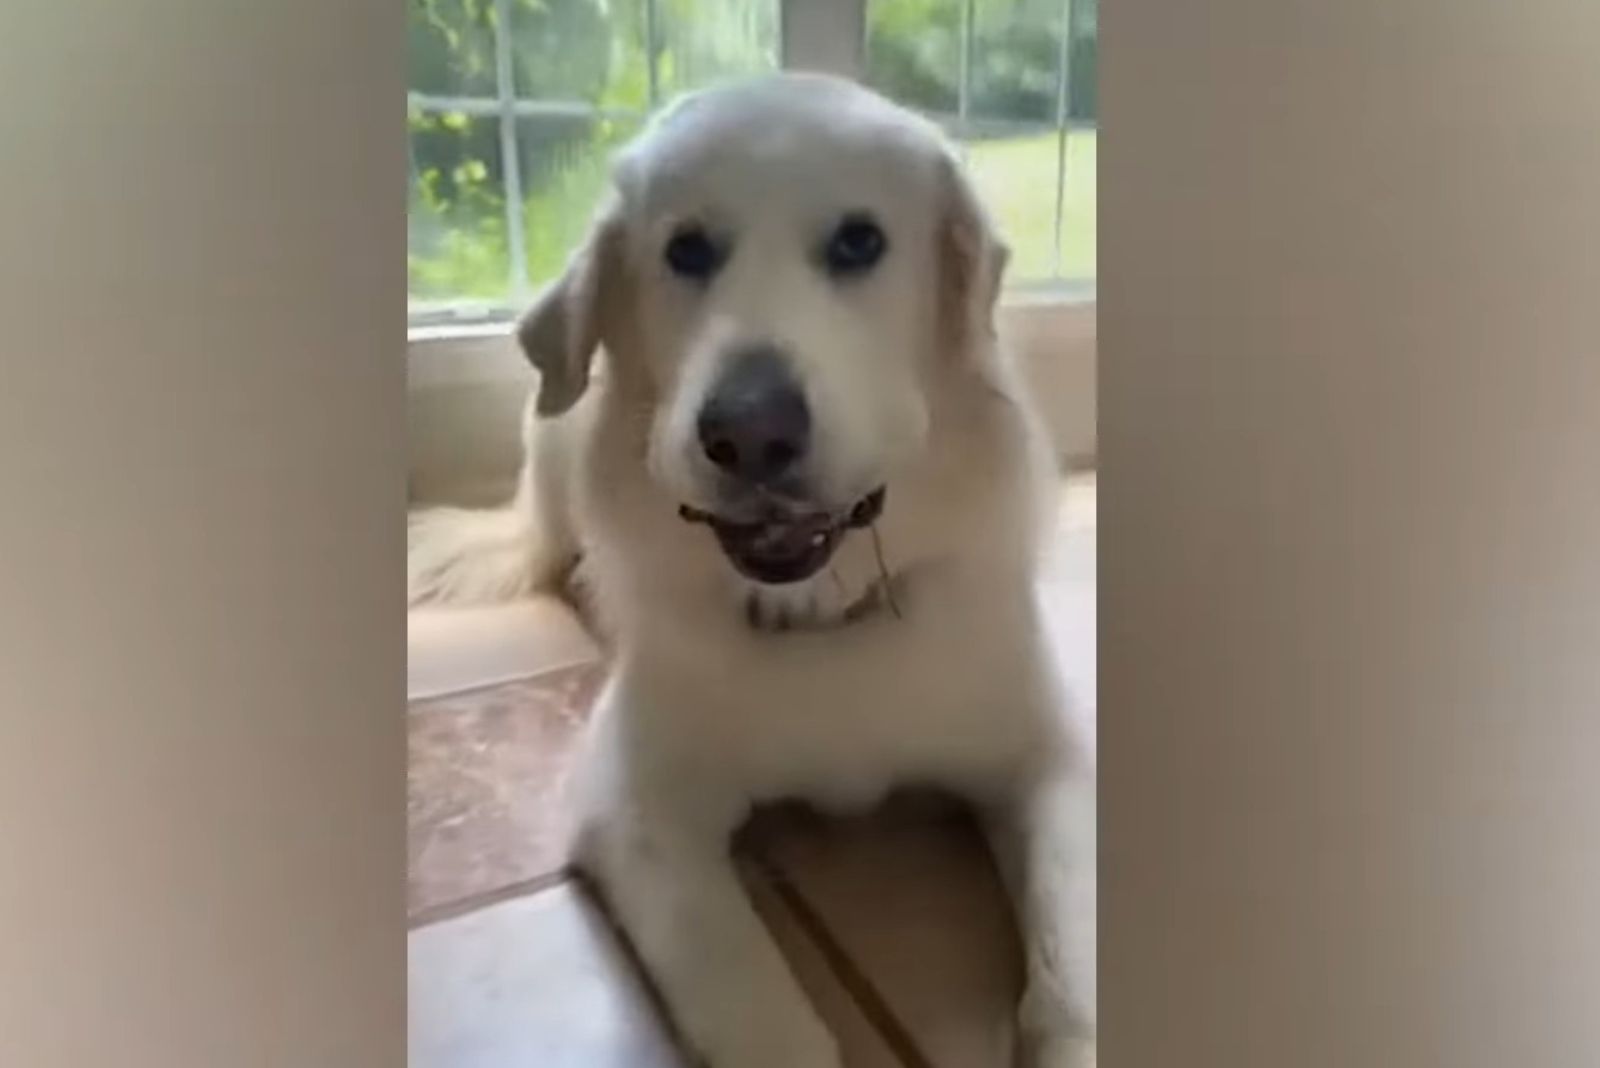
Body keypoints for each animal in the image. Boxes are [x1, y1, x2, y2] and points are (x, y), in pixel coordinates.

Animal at [406, 70, 1094, 1061]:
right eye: (685, 250)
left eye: (860, 242)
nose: (750, 432)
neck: (820, 620)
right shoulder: (637, 811)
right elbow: (753, 999)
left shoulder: (1050, 758)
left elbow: (1070, 959)